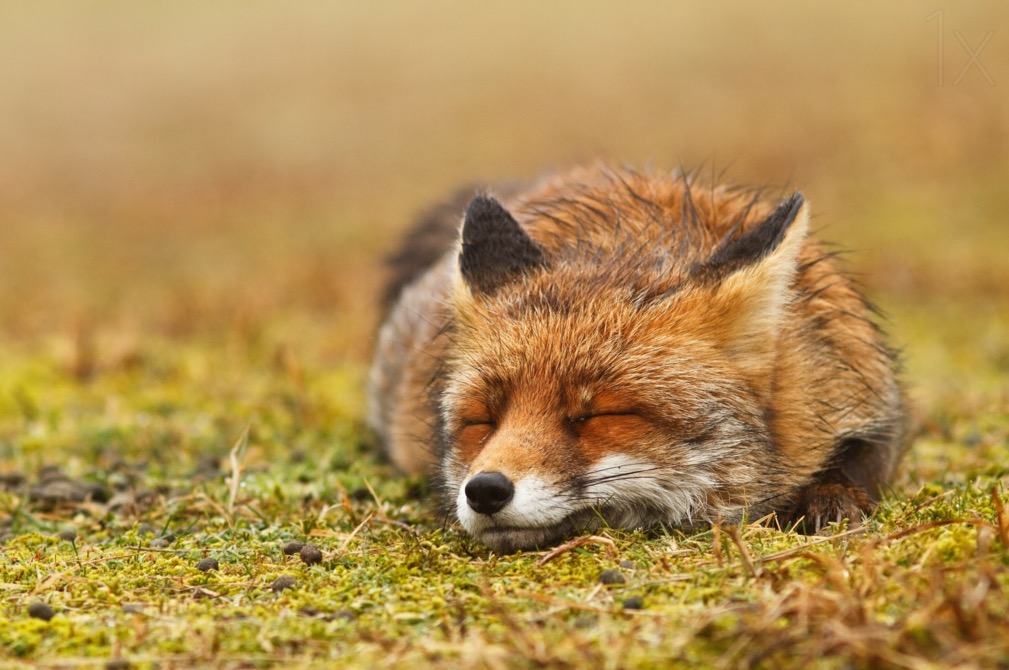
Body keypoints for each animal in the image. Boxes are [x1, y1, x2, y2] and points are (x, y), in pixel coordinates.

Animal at [368, 164, 906, 553]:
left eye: (599, 415)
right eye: (482, 420)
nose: (484, 490)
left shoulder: (865, 396)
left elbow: (854, 467)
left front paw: (829, 500)